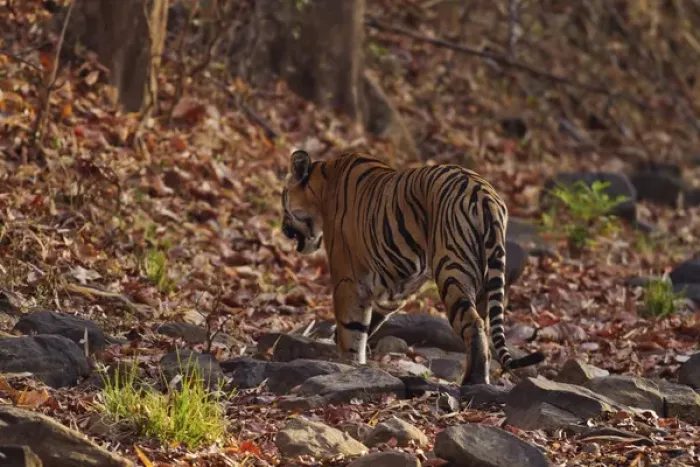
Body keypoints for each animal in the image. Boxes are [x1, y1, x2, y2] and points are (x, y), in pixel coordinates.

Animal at [280, 149, 544, 386]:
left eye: (283, 199)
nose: (283, 229)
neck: (322, 184)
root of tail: (483, 194)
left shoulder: (348, 278)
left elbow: (352, 329)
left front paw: (348, 365)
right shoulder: (394, 287)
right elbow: (369, 322)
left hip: (452, 273)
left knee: (474, 323)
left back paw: (474, 380)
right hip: (484, 278)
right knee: (486, 326)